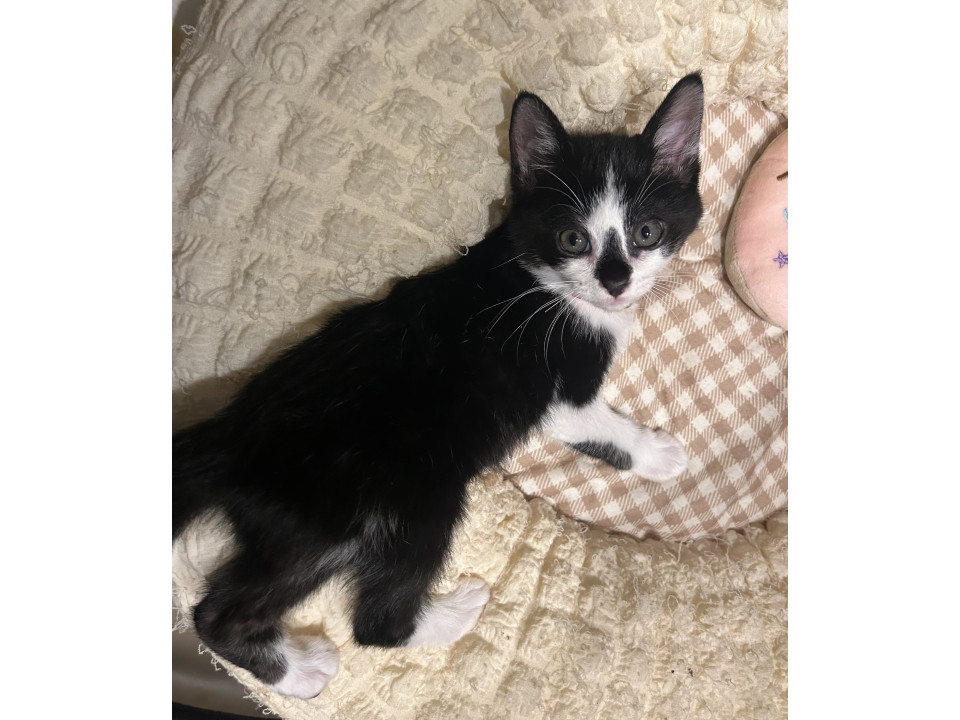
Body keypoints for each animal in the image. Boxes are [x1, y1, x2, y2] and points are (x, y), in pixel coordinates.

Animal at [173, 73, 704, 698]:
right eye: (574, 239)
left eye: (647, 231)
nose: (616, 281)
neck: (542, 283)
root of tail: (232, 431)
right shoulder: (554, 392)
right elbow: (597, 423)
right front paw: (661, 454)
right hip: (401, 494)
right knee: (374, 622)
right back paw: (426, 623)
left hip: (305, 524)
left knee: (223, 608)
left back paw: (289, 666)